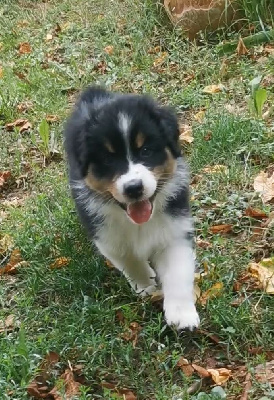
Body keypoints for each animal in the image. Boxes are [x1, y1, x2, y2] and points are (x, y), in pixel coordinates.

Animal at [65, 86, 200, 330]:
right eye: (108, 159)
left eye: (145, 150)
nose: (134, 188)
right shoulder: (107, 236)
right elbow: (129, 260)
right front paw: (146, 285)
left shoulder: (175, 230)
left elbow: (178, 272)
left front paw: (182, 315)